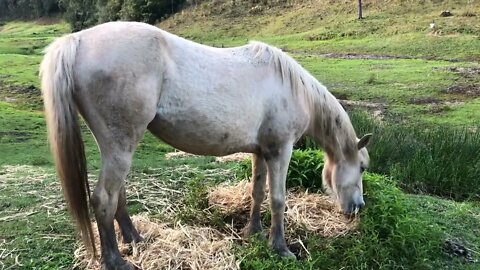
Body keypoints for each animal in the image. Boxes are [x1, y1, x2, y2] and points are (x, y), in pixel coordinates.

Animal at [40, 21, 372, 270]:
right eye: (362, 167)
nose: (358, 208)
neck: (290, 88)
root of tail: (77, 40)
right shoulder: (281, 150)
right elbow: (278, 199)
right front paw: (280, 248)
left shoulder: (262, 151)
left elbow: (258, 192)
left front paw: (254, 232)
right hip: (120, 143)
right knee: (103, 199)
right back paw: (116, 262)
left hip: (116, 145)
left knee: (117, 195)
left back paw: (135, 239)